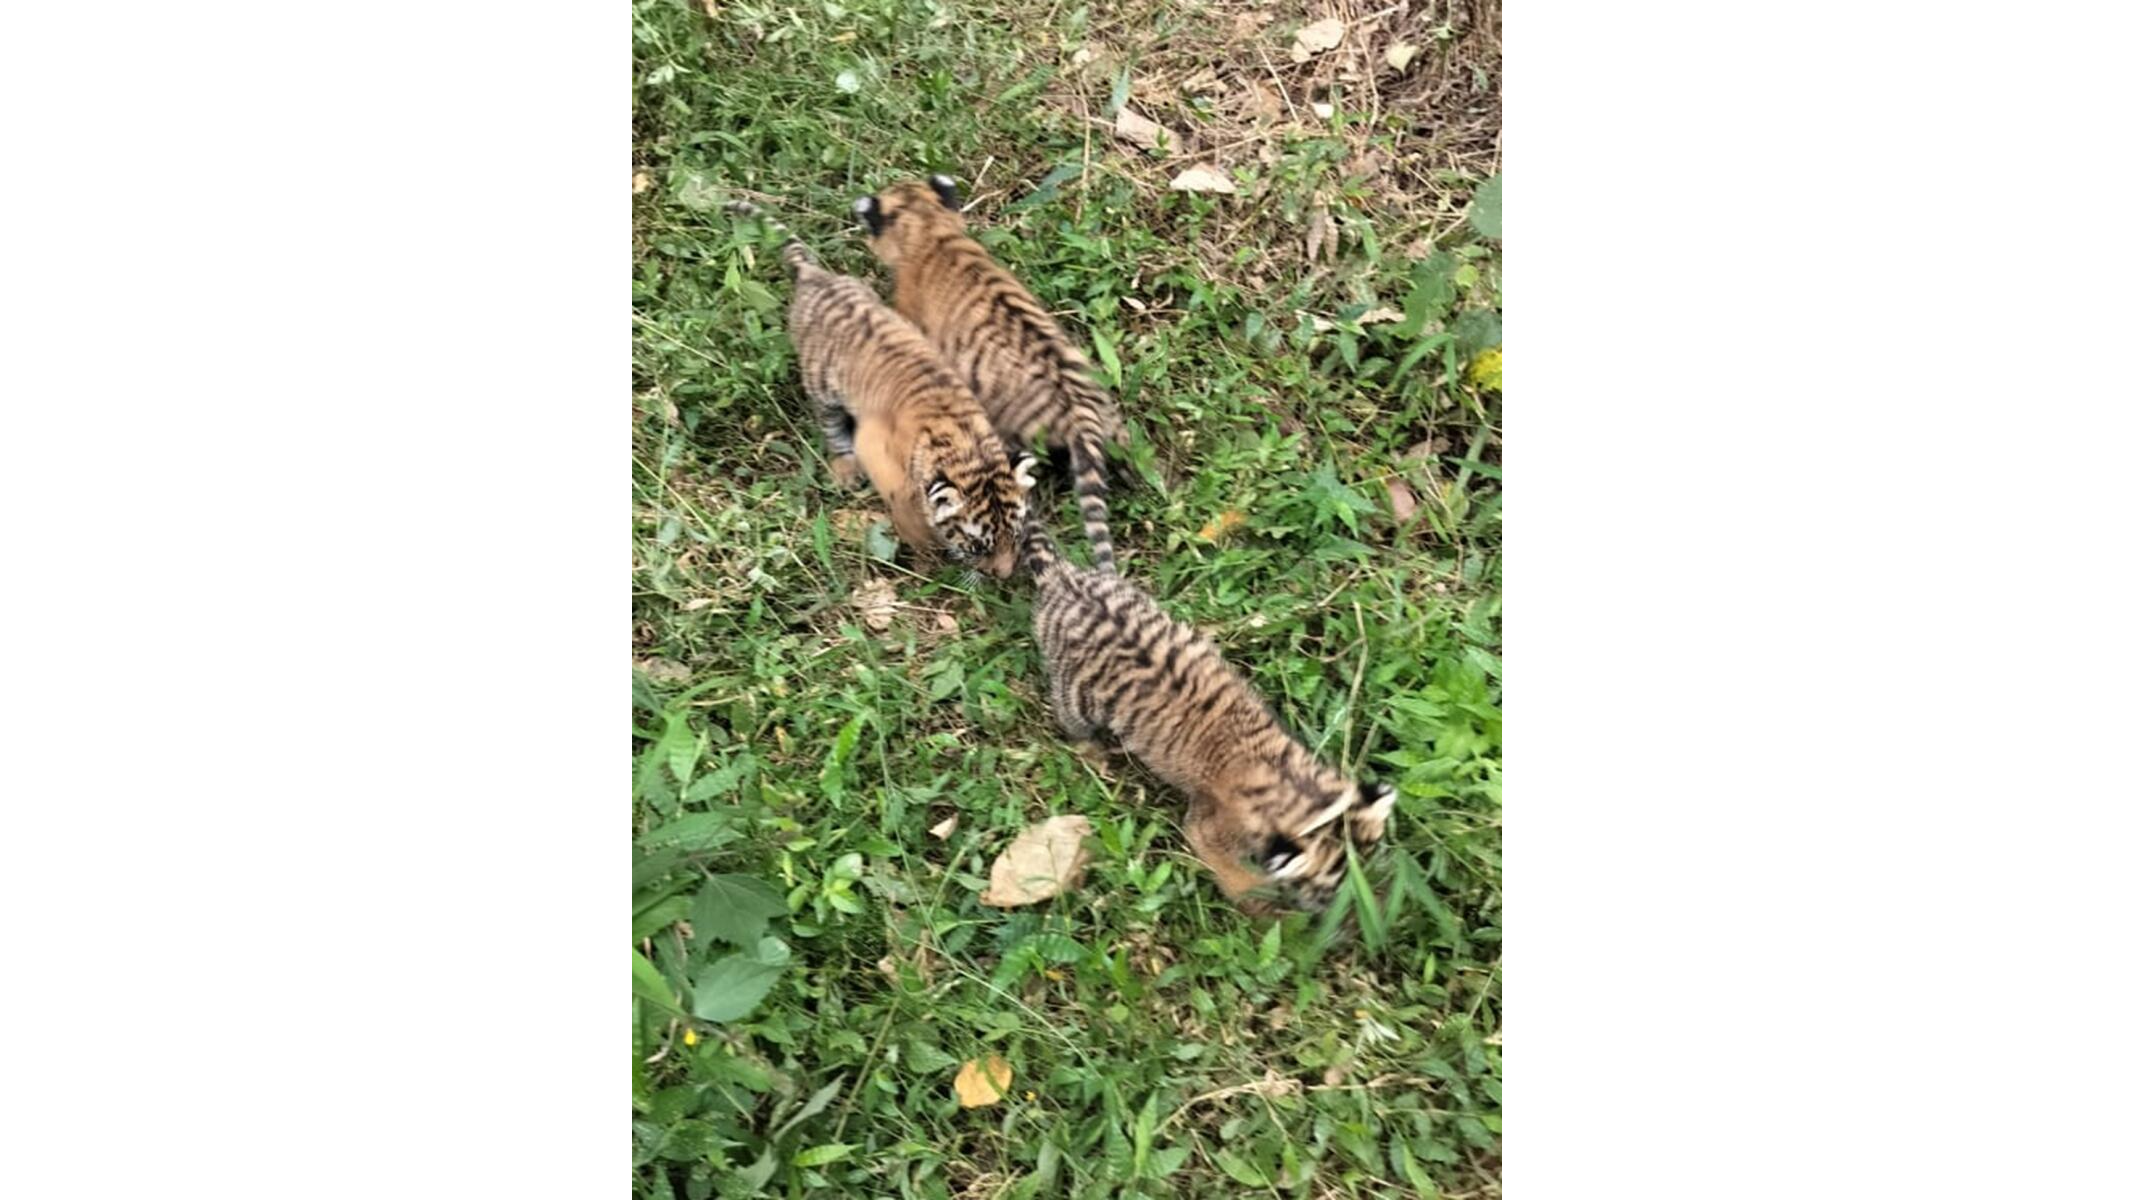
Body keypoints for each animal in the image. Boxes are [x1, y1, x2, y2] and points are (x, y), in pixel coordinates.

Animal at [728, 199, 1035, 579]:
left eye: (1015, 534)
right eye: (980, 546)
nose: (1005, 575)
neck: (967, 444)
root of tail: (815, 276)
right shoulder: (875, 447)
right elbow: (904, 505)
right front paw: (924, 550)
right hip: (821, 384)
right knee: (831, 424)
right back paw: (845, 468)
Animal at [1018, 525, 1397, 914]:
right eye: (1331, 889)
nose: (1370, 907)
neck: (1301, 789)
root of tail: (1063, 575)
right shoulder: (1208, 830)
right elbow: (1242, 882)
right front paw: (1271, 917)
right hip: (1076, 695)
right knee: (1071, 719)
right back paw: (1092, 752)